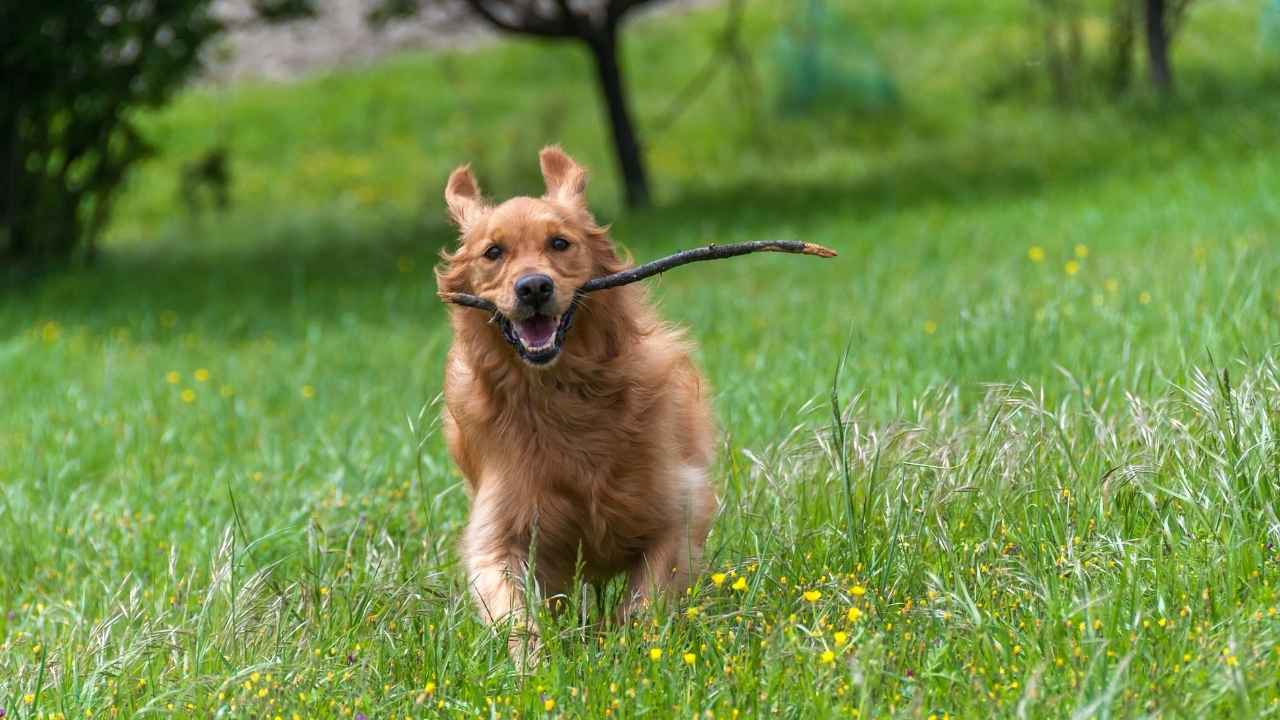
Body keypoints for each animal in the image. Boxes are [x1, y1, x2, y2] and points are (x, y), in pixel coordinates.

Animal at [437, 144, 721, 655]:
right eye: (494, 252)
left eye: (559, 243)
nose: (533, 286)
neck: (561, 394)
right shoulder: (500, 528)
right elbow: (510, 606)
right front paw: (533, 663)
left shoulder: (677, 507)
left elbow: (645, 600)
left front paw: (634, 652)